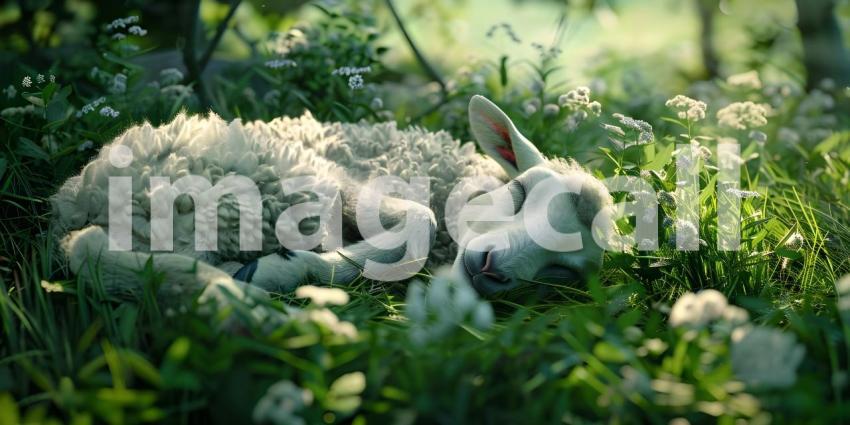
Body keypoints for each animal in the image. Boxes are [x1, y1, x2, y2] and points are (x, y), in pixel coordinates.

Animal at [54, 95, 612, 306]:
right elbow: (420, 221)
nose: (490, 267)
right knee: (89, 252)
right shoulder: (353, 185)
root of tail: (84, 195)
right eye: (521, 191)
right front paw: (292, 269)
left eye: (564, 272)